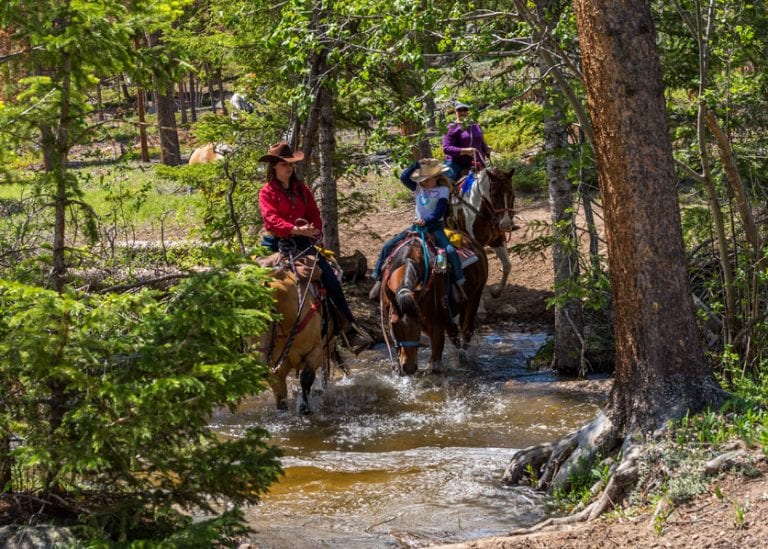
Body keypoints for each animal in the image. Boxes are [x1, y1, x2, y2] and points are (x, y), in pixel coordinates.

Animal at [380, 229, 488, 374]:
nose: (409, 368)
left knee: (466, 331)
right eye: (393, 324)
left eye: (418, 322)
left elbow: (436, 362)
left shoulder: (436, 325)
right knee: (453, 333)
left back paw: (463, 358)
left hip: (475, 298)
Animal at [450, 167, 516, 296]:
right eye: (494, 195)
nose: (506, 224)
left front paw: (497, 291)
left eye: (511, 193)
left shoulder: (497, 240)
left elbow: (507, 265)